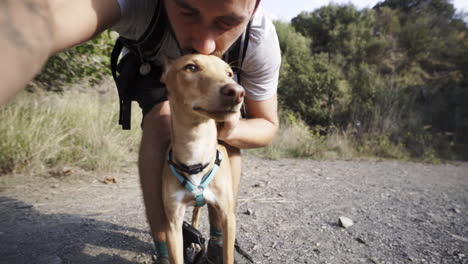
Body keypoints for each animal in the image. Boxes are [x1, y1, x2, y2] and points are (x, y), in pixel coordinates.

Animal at [160, 54, 243, 264]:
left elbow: (228, 256)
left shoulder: (228, 218)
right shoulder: (172, 225)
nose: (237, 91)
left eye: (229, 73)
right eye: (191, 67)